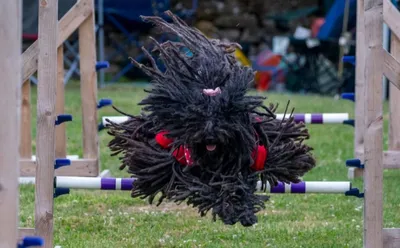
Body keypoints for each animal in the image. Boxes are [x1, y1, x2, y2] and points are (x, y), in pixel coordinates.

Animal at [105, 11, 316, 227]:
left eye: (224, 115)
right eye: (197, 116)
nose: (210, 136)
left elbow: (241, 183)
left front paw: (243, 211)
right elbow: (205, 187)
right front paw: (229, 207)